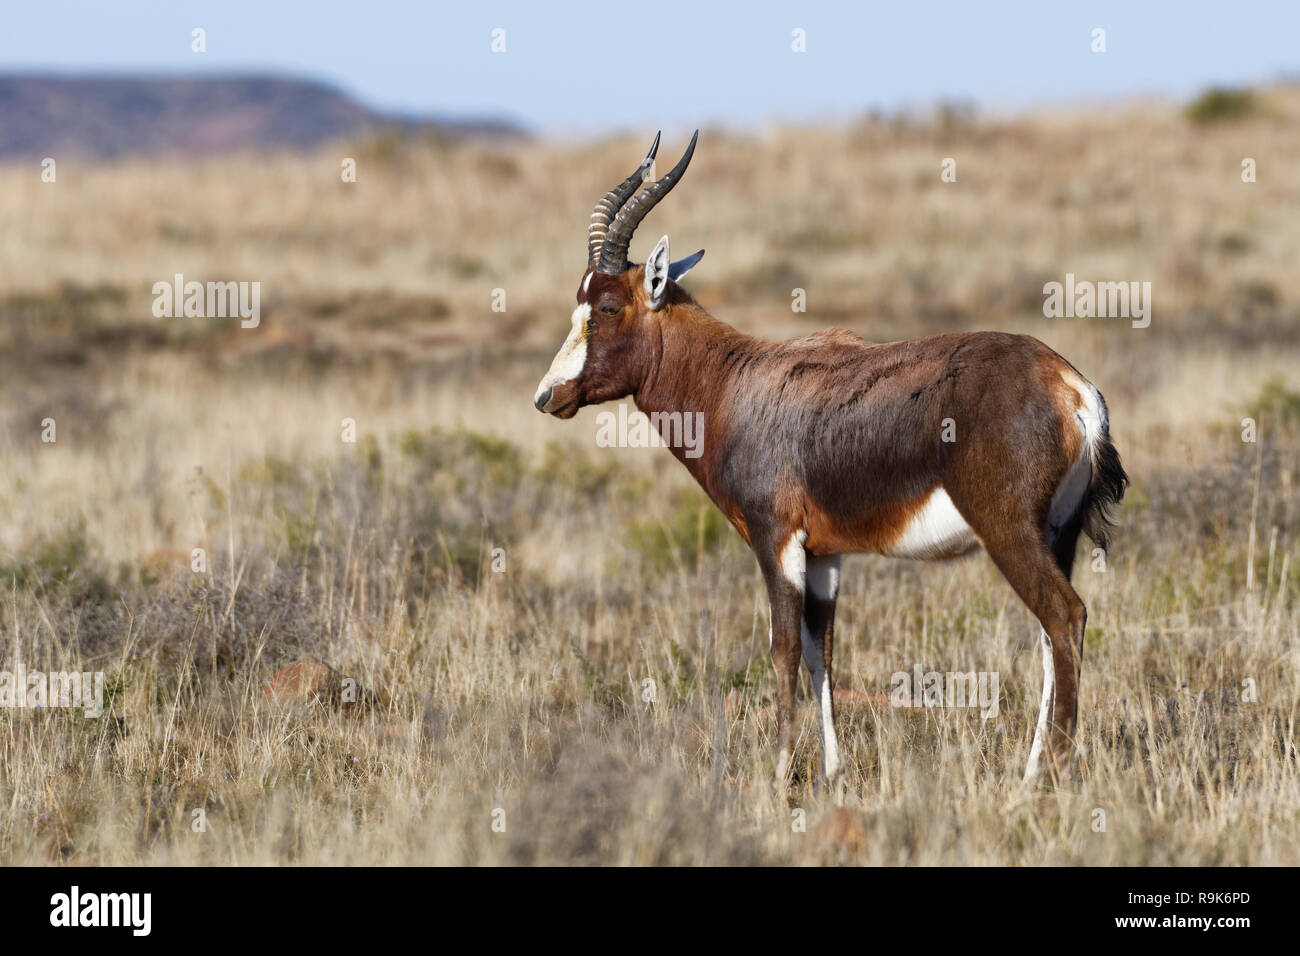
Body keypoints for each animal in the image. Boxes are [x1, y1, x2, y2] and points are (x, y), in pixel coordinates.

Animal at [533, 130, 1123, 785]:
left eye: (608, 307)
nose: (548, 396)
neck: (739, 381)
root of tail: (1072, 389)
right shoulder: (824, 554)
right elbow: (823, 652)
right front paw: (831, 770)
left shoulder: (775, 538)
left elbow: (784, 647)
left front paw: (778, 774)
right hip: (1057, 535)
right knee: (1049, 636)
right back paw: (1031, 771)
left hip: (1010, 532)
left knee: (1064, 618)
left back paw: (1050, 774)